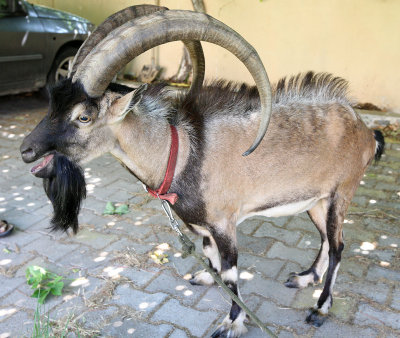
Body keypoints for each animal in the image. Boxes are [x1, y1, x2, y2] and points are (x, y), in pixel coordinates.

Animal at [20, 5, 386, 338]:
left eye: (84, 116)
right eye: (53, 103)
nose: (26, 150)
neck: (183, 152)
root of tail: (367, 132)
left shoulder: (225, 223)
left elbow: (232, 272)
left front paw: (232, 323)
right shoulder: (200, 225)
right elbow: (212, 260)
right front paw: (206, 277)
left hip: (341, 193)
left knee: (338, 247)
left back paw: (320, 308)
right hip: (316, 201)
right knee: (326, 239)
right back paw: (305, 278)